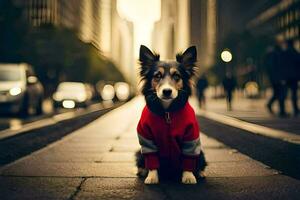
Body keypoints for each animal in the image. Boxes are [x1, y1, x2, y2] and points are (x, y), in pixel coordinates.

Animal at [136, 44, 206, 184]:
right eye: (157, 76)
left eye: (176, 76)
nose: (167, 91)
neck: (167, 112)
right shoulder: (146, 137)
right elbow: (151, 159)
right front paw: (152, 177)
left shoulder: (191, 138)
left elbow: (188, 158)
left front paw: (189, 176)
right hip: (138, 153)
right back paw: (142, 171)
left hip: (201, 153)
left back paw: (199, 173)